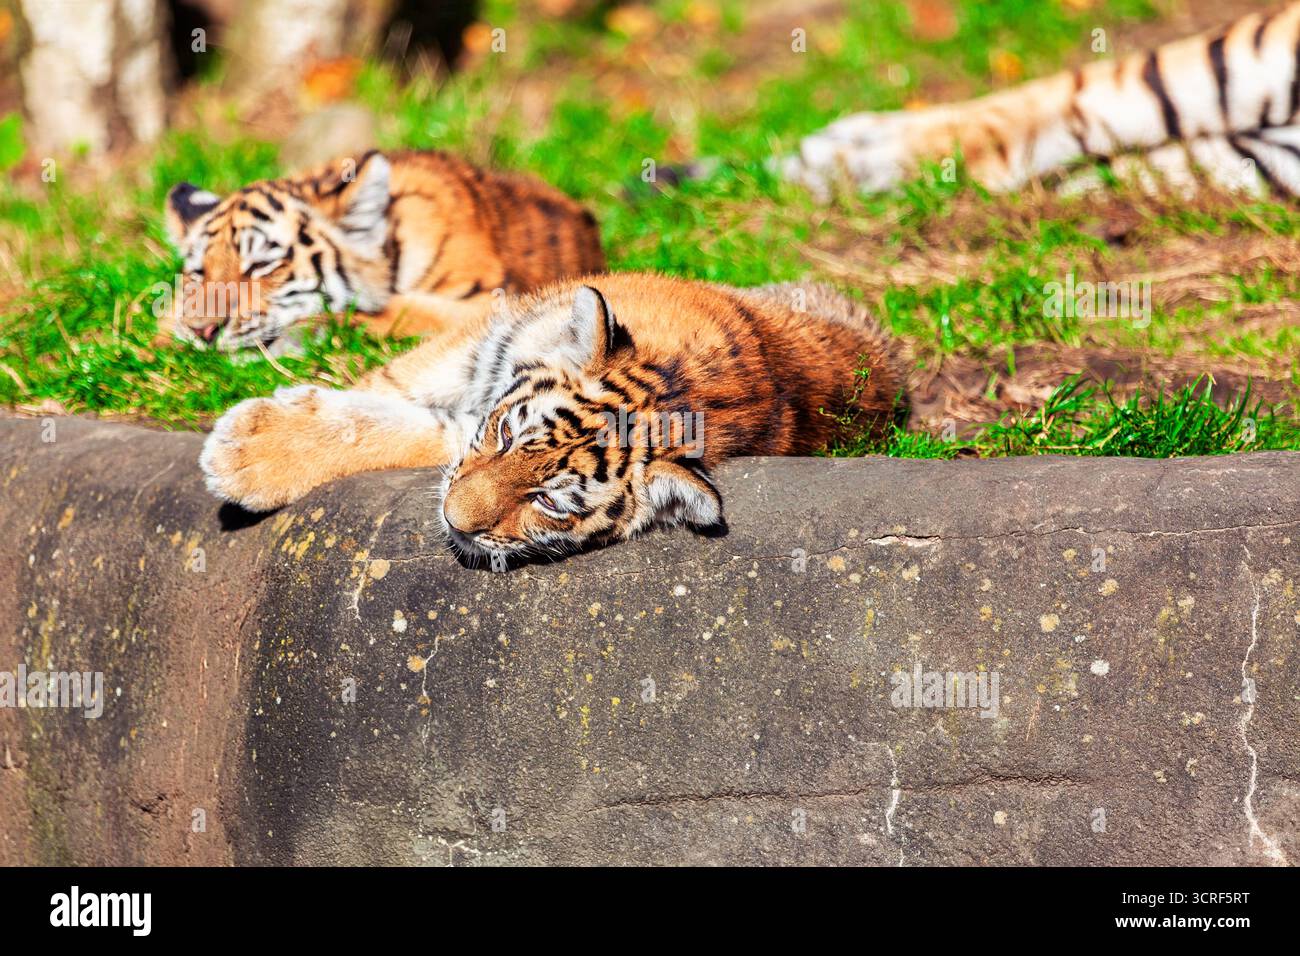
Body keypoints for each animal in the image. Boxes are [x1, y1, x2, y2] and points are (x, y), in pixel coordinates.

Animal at [199, 273, 909, 565]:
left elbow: (408, 432)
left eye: (549, 502)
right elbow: (386, 388)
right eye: (505, 433)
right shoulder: (479, 353)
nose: (453, 523)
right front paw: (249, 442)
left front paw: (247, 453)